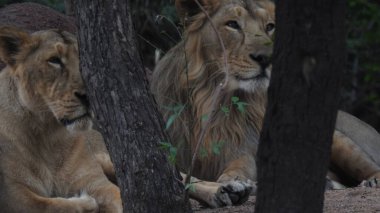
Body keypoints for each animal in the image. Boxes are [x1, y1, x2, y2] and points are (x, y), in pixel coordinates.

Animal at [0, 27, 121, 213]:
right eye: (54, 60)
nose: (88, 96)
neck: (49, 136)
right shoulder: (10, 192)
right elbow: (46, 205)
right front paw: (86, 202)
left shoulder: (96, 182)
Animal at [151, 0, 380, 208]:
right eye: (232, 24)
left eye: (270, 26)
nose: (266, 58)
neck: (210, 97)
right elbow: (186, 178)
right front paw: (229, 187)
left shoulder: (243, 145)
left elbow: (237, 165)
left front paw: (233, 181)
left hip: (341, 142)